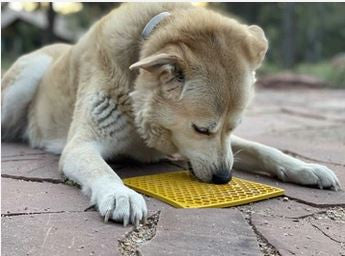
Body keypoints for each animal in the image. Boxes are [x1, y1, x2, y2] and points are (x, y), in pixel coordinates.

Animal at [1, 3, 338, 225]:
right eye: (201, 129)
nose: (224, 178)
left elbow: (264, 149)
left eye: (233, 127)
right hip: (26, 78)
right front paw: (121, 195)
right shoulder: (80, 145)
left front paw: (306, 168)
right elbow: (102, 170)